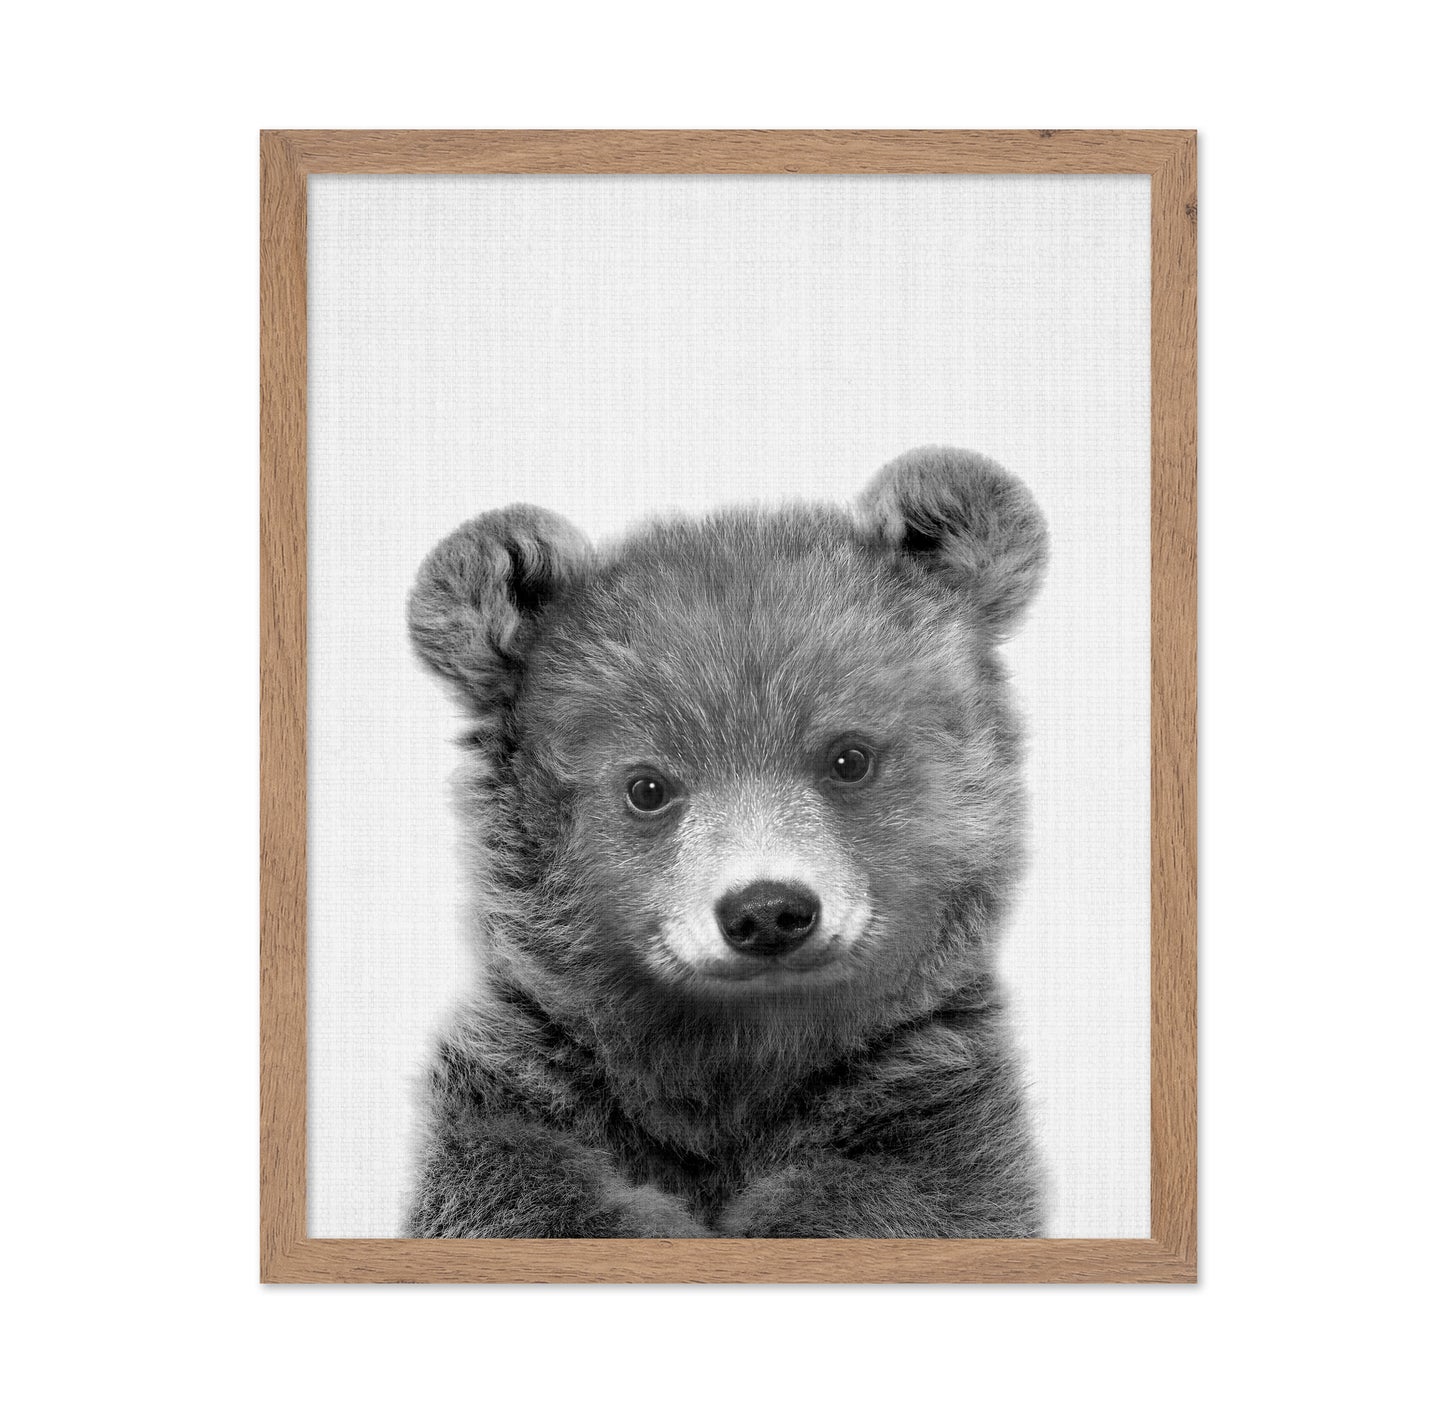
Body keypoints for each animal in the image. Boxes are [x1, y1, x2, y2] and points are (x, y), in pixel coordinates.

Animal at [404, 446, 1049, 1238]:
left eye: (849, 757)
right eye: (647, 786)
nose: (767, 911)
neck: (736, 1063)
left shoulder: (926, 1110)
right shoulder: (528, 1097)